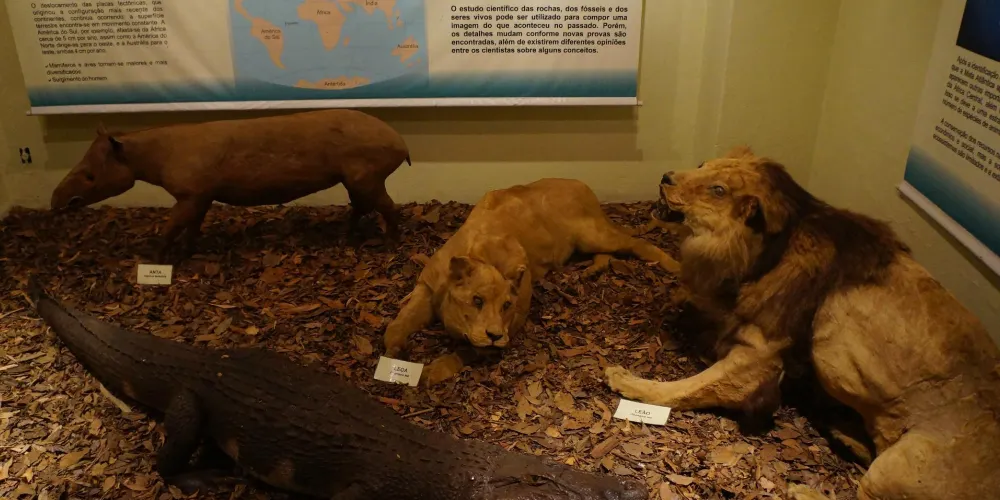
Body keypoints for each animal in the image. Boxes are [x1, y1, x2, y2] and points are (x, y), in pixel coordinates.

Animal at [383, 178, 680, 386]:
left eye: (506, 305)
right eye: (476, 300)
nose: (494, 335)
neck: (482, 256)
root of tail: (580, 184)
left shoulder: (512, 327)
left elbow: (468, 352)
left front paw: (430, 372)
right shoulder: (426, 288)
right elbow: (401, 321)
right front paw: (393, 349)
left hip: (593, 234)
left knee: (638, 243)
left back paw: (674, 266)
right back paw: (592, 271)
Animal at [604, 147, 1000, 500]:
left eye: (718, 190)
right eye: (703, 164)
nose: (666, 177)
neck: (756, 249)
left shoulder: (760, 355)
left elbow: (688, 387)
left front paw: (628, 382)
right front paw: (684, 303)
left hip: (899, 465)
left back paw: (803, 489)